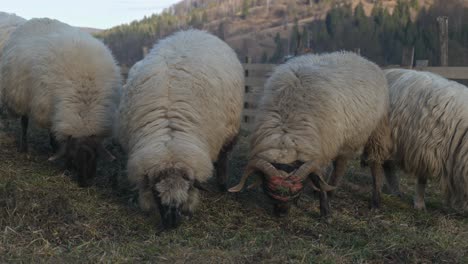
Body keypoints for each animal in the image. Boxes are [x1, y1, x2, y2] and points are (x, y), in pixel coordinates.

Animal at [0, 18, 120, 187]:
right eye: (73, 158)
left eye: (94, 156)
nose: (83, 184)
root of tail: (35, 20)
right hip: (23, 96)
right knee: (24, 123)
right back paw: (24, 148)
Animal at [118, 29, 245, 229]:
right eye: (157, 194)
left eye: (186, 190)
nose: (171, 224)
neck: (171, 135)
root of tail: (193, 31)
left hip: (230, 130)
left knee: (223, 157)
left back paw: (222, 184)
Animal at [229, 51, 392, 217]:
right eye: (270, 189)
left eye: (296, 190)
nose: (282, 214)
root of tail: (363, 59)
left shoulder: (322, 151)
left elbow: (319, 180)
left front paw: (325, 212)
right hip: (346, 139)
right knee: (341, 165)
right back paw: (332, 190)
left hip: (377, 132)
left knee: (375, 164)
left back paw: (375, 202)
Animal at [378, 68, 468, 212]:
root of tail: (386, 71)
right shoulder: (424, 148)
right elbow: (422, 180)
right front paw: (419, 204)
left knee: (388, 166)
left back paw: (396, 192)